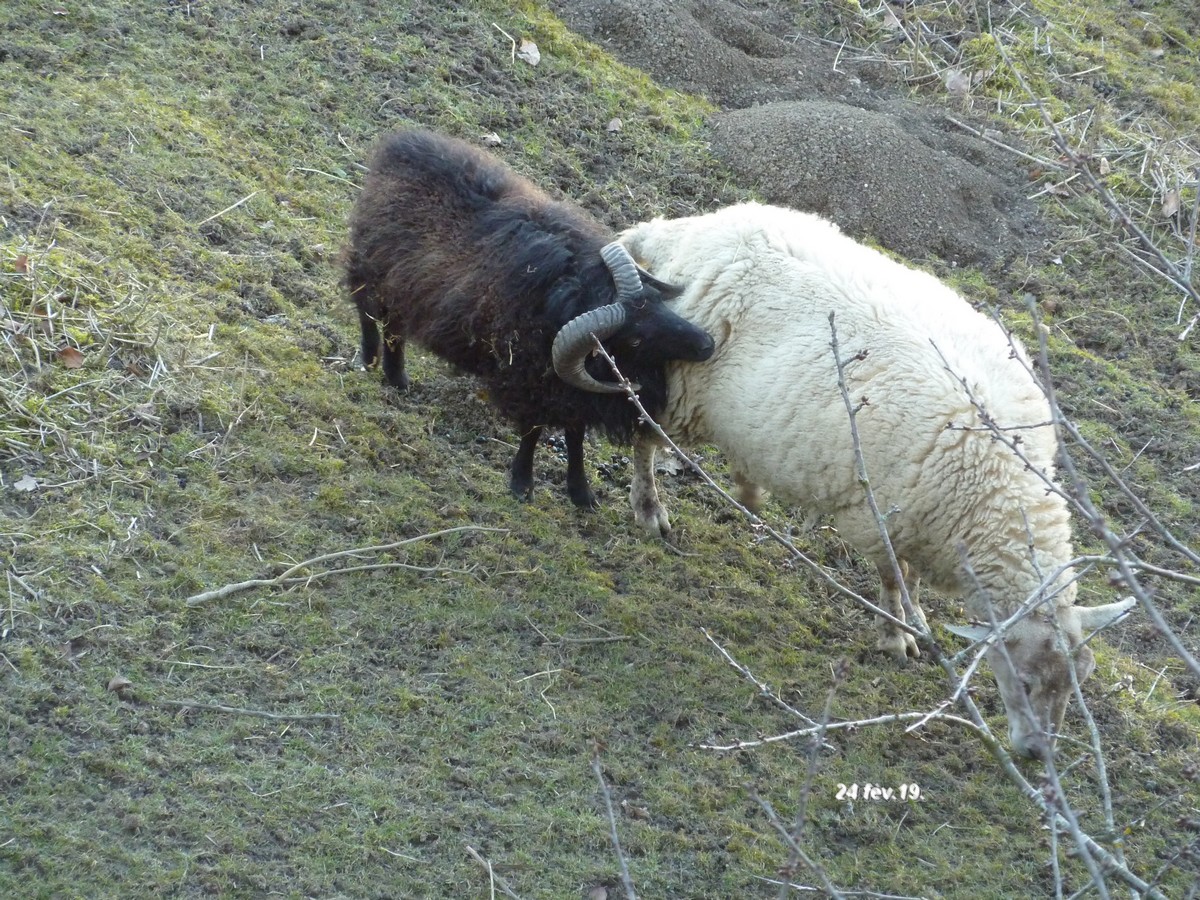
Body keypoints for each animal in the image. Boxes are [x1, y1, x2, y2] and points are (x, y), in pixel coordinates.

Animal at [343, 127, 710, 511]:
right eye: (634, 338)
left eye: (653, 303)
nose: (707, 344)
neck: (570, 293)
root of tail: (399, 145)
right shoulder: (527, 380)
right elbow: (533, 432)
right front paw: (522, 484)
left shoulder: (569, 389)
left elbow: (575, 436)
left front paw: (582, 494)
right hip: (369, 267)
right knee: (366, 310)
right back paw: (368, 361)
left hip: (404, 285)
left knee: (394, 326)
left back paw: (397, 378)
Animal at [556, 204, 1128, 763]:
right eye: (1024, 682)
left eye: (1079, 683)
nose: (1036, 754)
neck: (995, 491)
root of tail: (677, 231)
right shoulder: (878, 518)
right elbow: (894, 578)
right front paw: (897, 635)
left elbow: (908, 579)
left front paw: (916, 619)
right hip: (678, 385)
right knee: (644, 436)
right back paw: (650, 510)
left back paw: (747, 490)